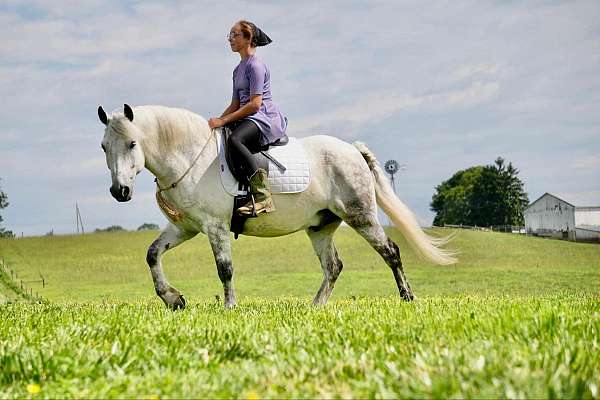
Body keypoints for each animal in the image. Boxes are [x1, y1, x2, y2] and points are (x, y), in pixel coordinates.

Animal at [98, 104, 454, 310]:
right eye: (104, 146)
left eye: (132, 144)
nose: (119, 191)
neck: (189, 157)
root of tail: (352, 151)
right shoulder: (185, 227)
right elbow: (152, 255)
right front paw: (173, 299)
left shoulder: (215, 226)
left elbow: (225, 268)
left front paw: (229, 307)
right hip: (320, 226)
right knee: (333, 266)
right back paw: (314, 306)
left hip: (360, 215)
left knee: (390, 251)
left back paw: (407, 297)